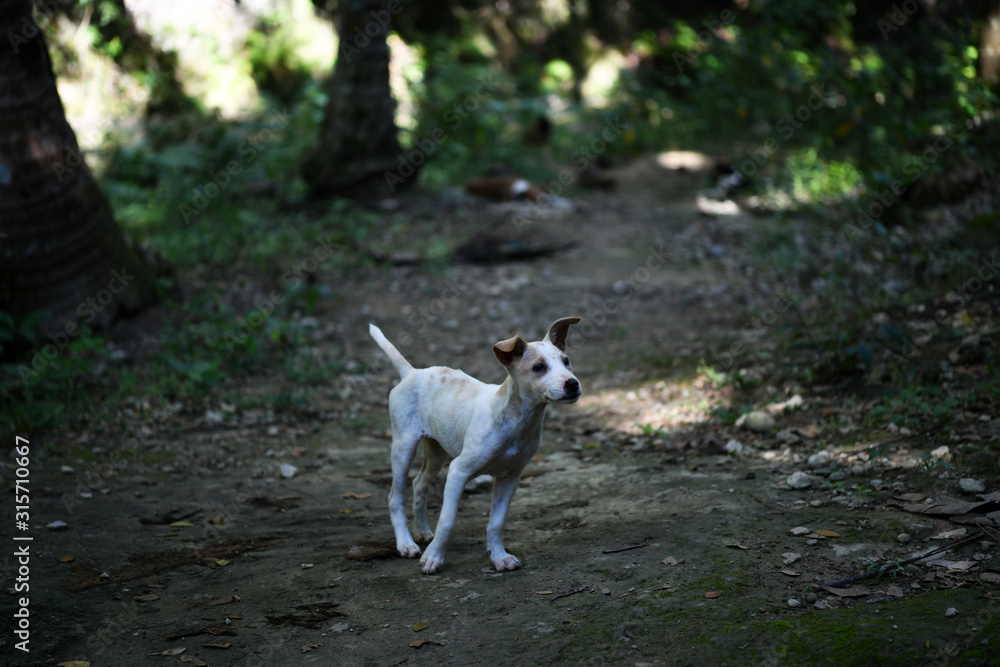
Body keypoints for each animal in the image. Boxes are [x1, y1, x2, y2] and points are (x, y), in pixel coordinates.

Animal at [372, 318, 584, 576]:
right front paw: (433, 558)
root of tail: (412, 373)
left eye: (566, 361)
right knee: (395, 497)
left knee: (419, 484)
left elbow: (497, 523)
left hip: (437, 449)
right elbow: (448, 522)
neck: (515, 420)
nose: (573, 384)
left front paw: (499, 557)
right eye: (538, 367)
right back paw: (406, 544)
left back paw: (422, 532)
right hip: (404, 446)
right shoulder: (459, 471)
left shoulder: (510, 477)